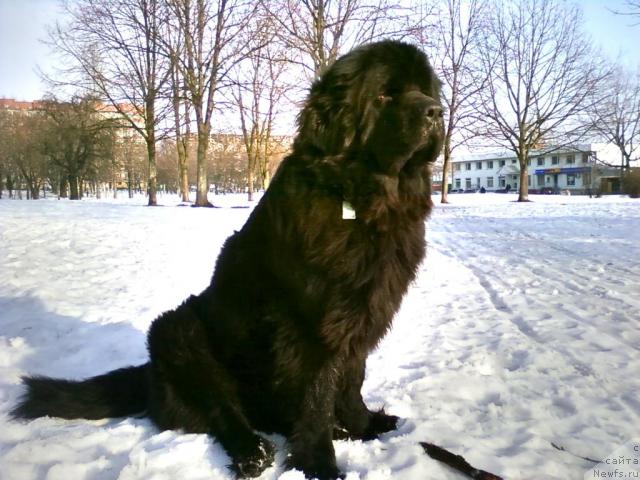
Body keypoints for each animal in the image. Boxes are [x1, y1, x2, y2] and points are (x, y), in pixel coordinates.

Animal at [12, 41, 442, 480]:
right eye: (385, 95)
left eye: (424, 89)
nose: (436, 111)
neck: (362, 201)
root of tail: (148, 377)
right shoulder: (308, 323)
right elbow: (316, 394)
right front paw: (319, 462)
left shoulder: (361, 315)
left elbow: (352, 378)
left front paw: (362, 424)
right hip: (178, 330)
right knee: (221, 409)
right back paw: (253, 451)